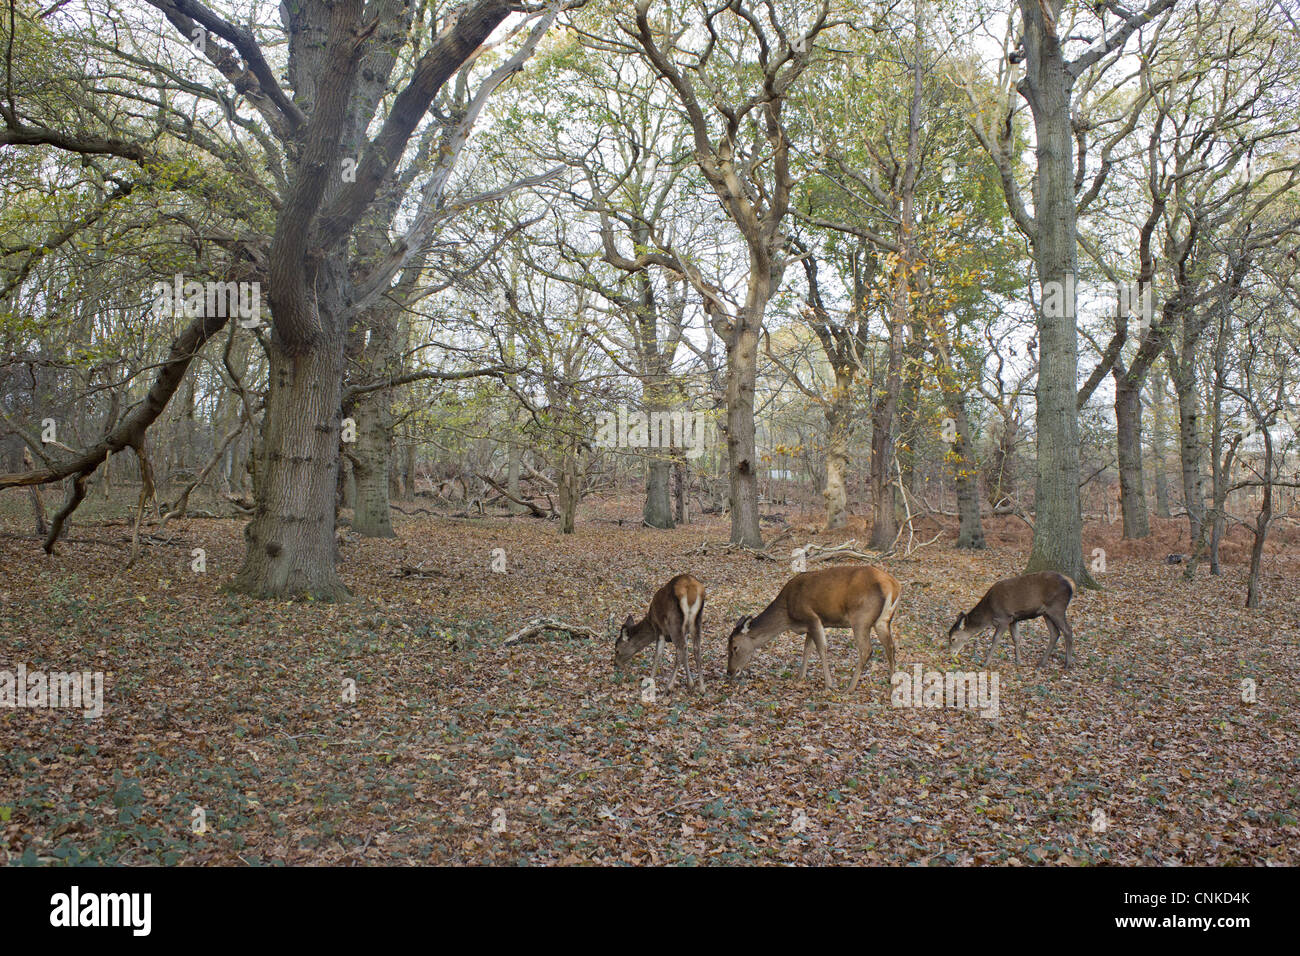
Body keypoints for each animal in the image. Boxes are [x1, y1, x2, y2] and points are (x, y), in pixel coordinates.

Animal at [728, 564, 899, 691]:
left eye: (734, 647)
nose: (730, 672)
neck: (788, 615)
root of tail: (893, 585)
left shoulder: (812, 617)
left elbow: (821, 649)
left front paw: (829, 685)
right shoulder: (809, 625)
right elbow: (807, 649)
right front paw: (800, 677)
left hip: (861, 618)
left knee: (866, 650)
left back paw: (849, 688)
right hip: (883, 621)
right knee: (890, 646)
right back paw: (892, 684)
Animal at [946, 572, 1076, 671]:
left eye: (953, 638)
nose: (951, 654)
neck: (989, 614)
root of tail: (1071, 585)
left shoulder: (1004, 618)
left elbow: (996, 638)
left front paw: (986, 663)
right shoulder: (1013, 619)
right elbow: (1016, 638)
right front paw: (1018, 661)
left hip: (1057, 608)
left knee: (1068, 631)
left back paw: (1068, 664)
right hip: (1046, 613)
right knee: (1055, 633)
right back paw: (1042, 663)